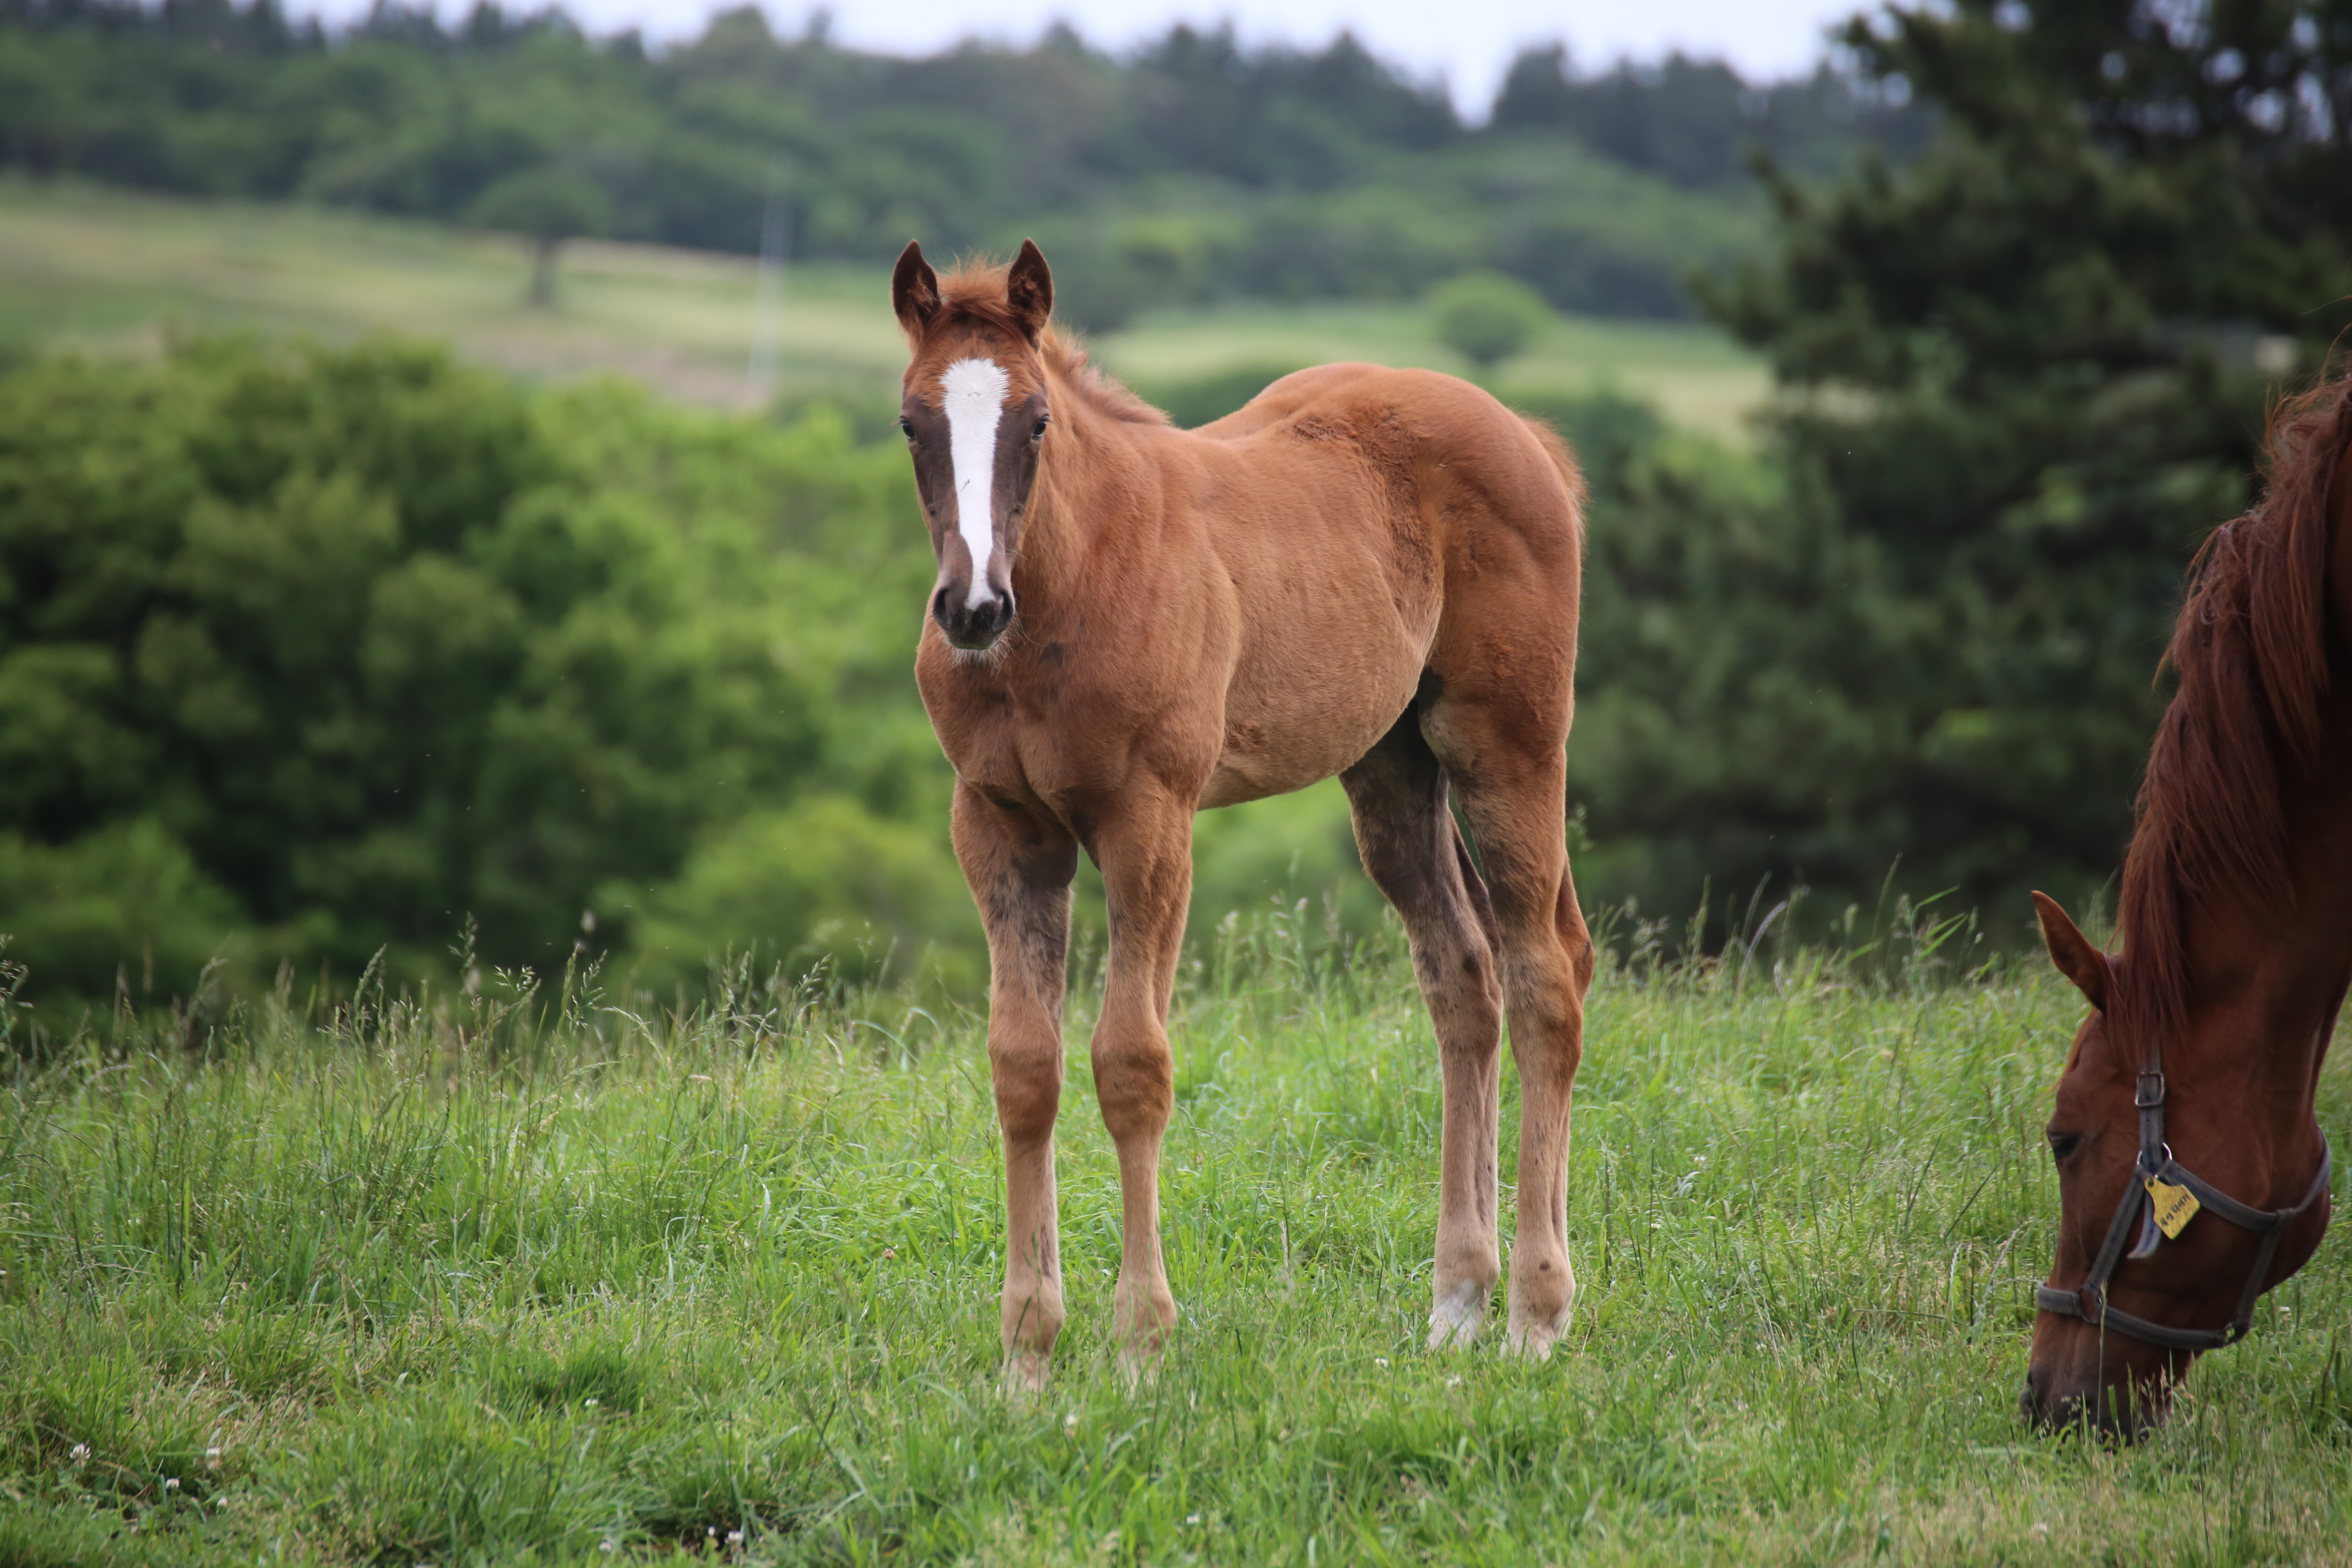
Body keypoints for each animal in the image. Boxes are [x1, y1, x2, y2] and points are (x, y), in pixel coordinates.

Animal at [884, 240, 1599, 1382]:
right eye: (913, 421)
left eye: (1034, 421)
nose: (973, 608)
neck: (1071, 588)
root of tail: (1522, 433)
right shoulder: (998, 826)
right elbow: (1023, 1066)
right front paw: (1027, 1355)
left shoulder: (1150, 820)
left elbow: (1130, 1063)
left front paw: (1139, 1342)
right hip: (1389, 767)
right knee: (1464, 980)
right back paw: (1457, 1302)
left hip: (1508, 746)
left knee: (1545, 977)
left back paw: (1538, 1312)